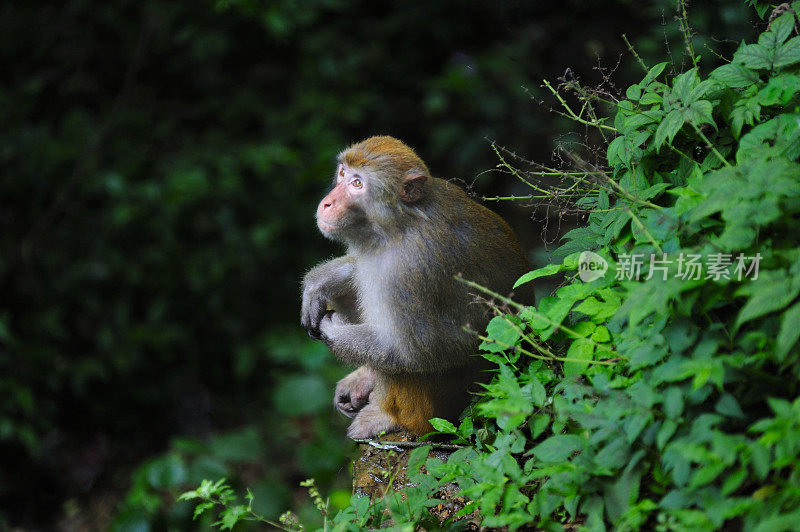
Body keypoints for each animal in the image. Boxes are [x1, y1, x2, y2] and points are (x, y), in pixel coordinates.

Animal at [300, 137, 532, 440]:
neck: (398, 224)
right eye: (342, 174)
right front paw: (319, 281)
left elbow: (421, 352)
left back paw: (389, 417)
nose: (327, 202)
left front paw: (334, 331)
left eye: (358, 184)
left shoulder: (408, 270)